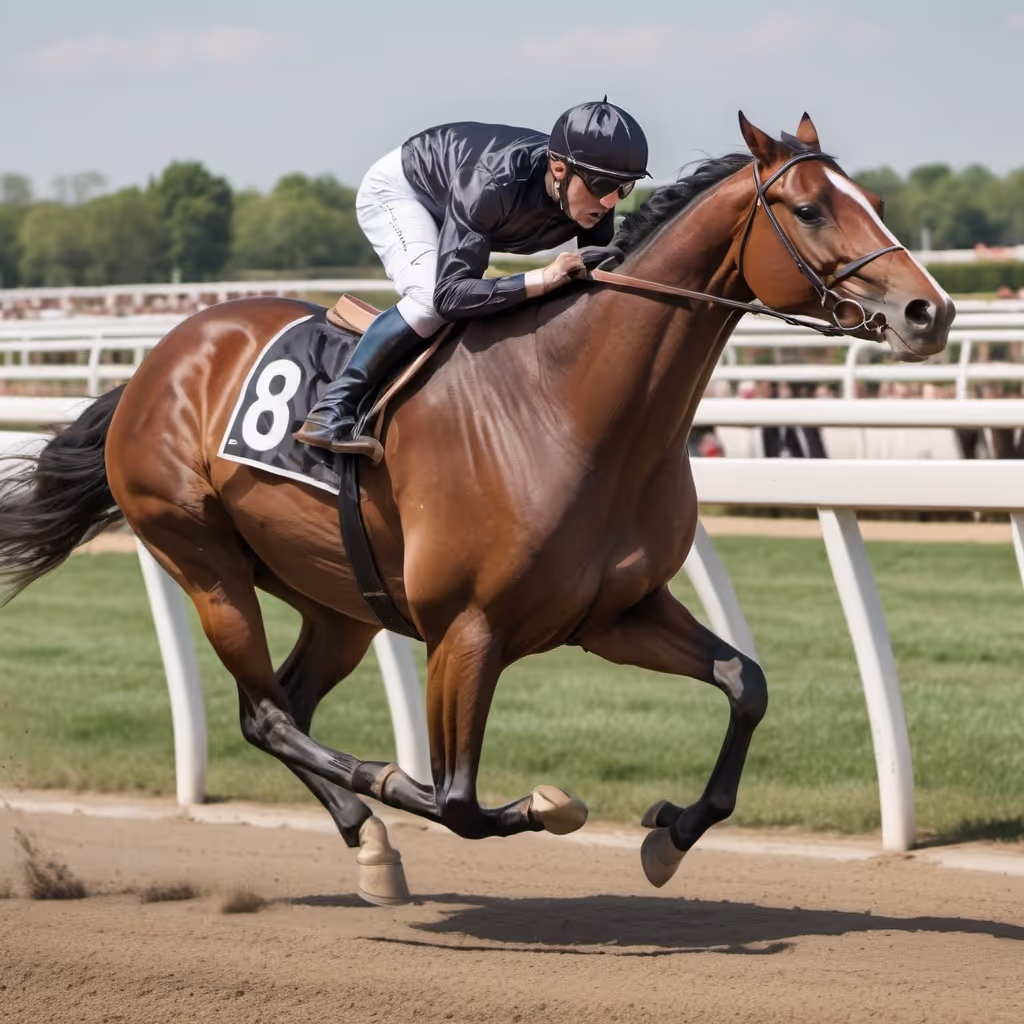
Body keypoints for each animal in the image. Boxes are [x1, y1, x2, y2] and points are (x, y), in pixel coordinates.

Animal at [0, 114, 953, 903]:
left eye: (873, 201)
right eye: (810, 208)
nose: (929, 310)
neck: (570, 407)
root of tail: (153, 368)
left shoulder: (616, 613)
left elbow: (745, 684)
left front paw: (671, 833)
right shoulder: (466, 630)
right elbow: (459, 800)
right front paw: (530, 801)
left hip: (338, 600)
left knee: (282, 710)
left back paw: (369, 844)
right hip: (203, 560)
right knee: (270, 715)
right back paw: (378, 805)